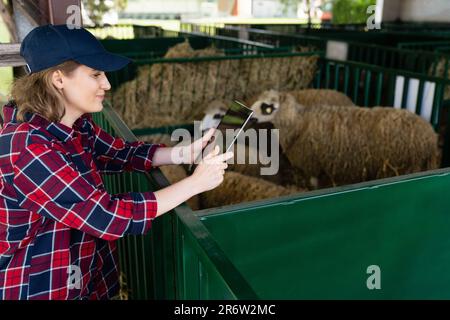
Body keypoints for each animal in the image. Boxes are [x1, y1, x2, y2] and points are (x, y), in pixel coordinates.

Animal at [250, 90, 440, 188]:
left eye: (268, 106)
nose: (250, 117)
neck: (299, 122)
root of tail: (431, 135)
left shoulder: (312, 163)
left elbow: (313, 183)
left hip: (408, 165)